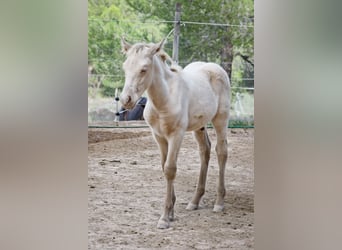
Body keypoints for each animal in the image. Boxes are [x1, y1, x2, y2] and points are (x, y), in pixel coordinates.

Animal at [119, 37, 230, 229]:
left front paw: (164, 218)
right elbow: (164, 166)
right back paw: (194, 201)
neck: (164, 100)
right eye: (125, 66)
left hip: (220, 120)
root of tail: (216, 68)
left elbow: (170, 169)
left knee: (221, 152)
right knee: (205, 151)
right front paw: (171, 213)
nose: (126, 100)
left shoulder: (176, 135)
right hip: (199, 126)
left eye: (144, 69)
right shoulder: (158, 136)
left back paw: (219, 203)